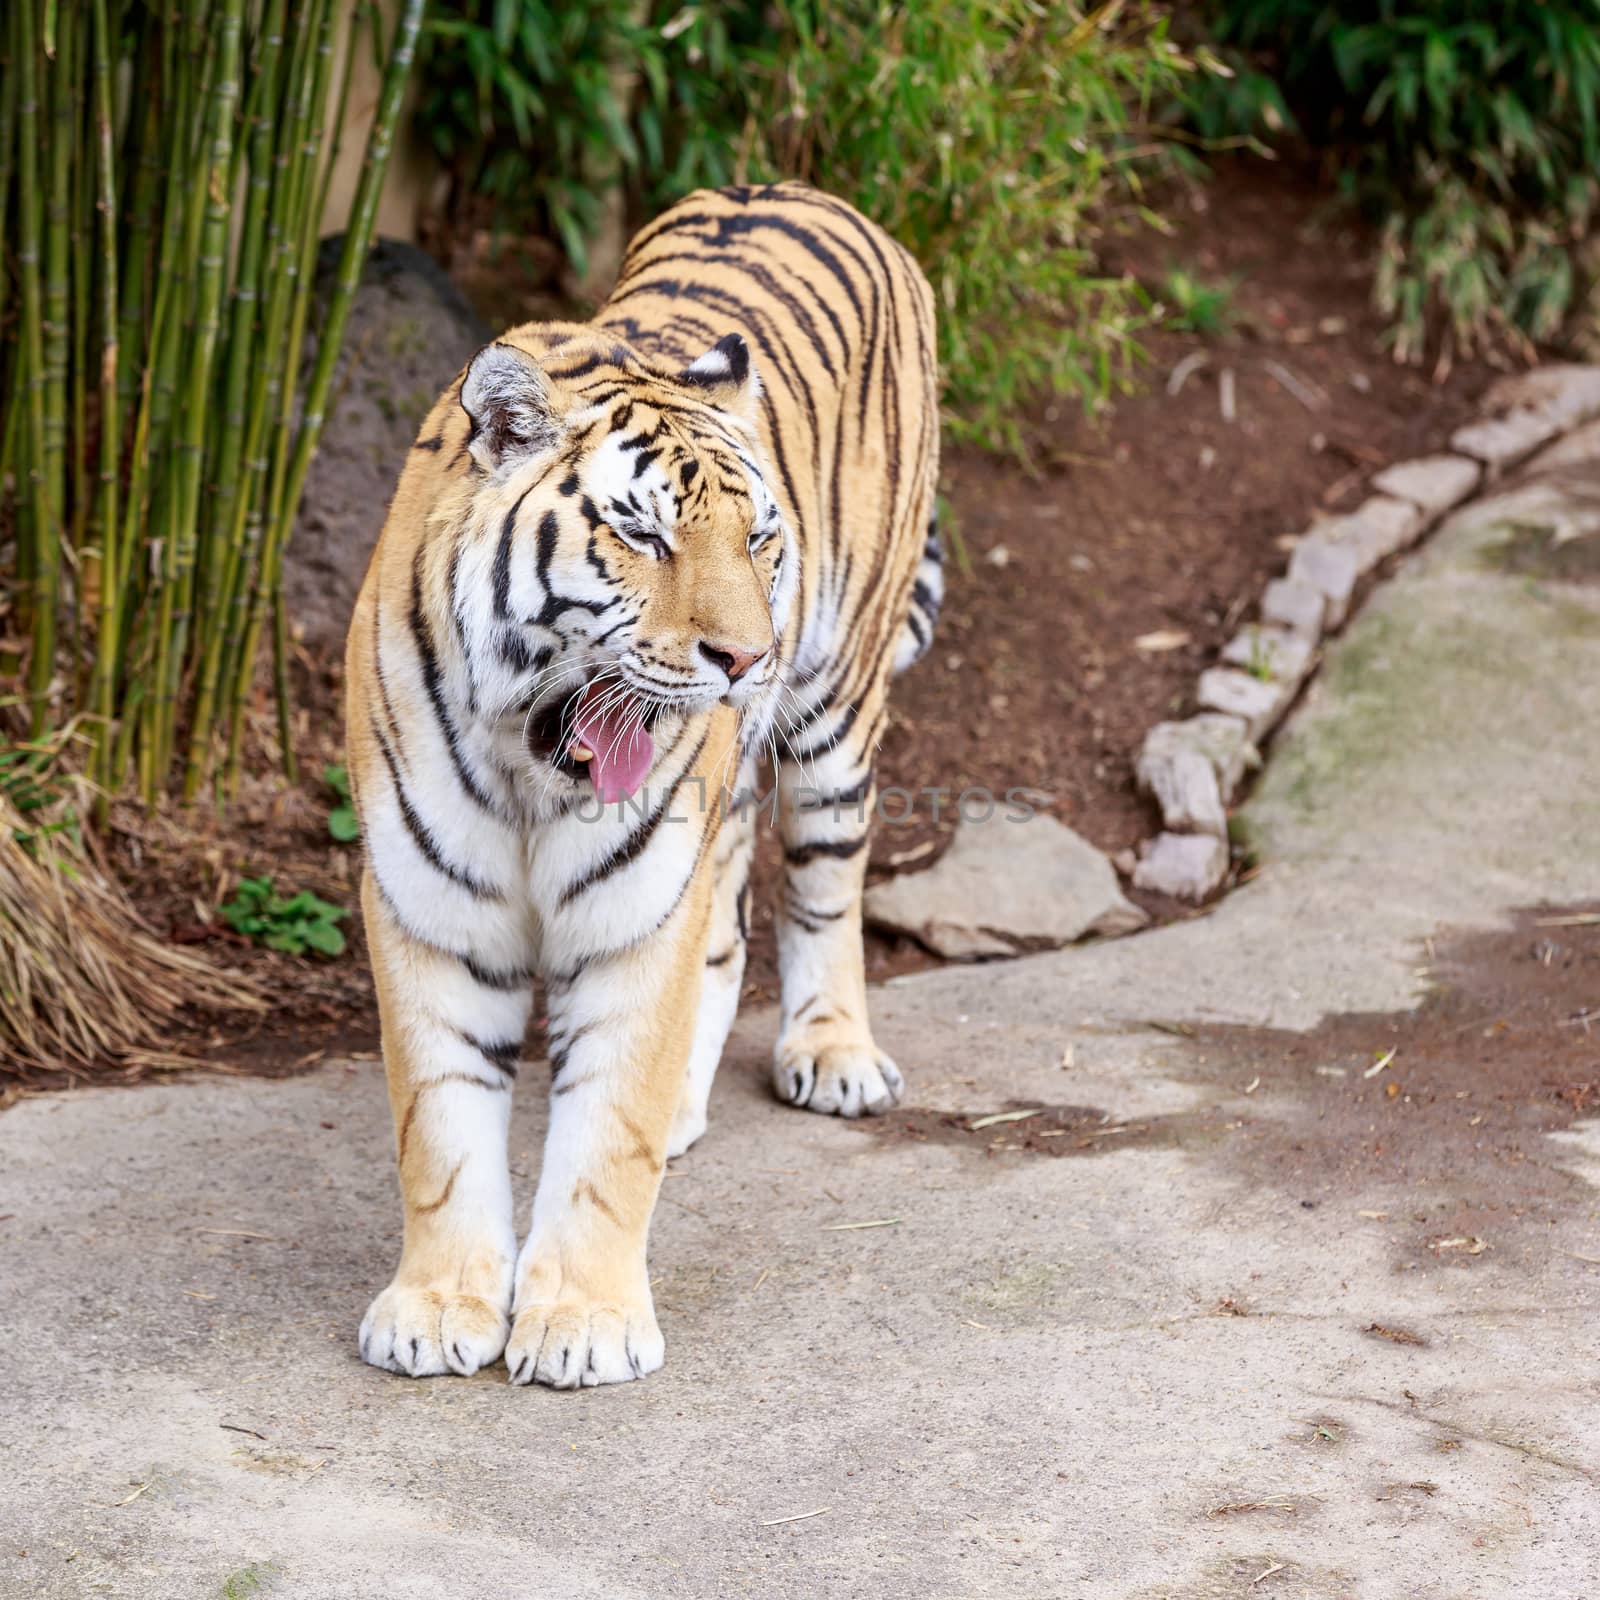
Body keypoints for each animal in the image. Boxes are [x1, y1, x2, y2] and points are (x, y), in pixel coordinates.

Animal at [337, 181, 934, 1388]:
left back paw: (835, 1052)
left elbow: (605, 1134)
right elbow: (439, 1127)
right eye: (645, 534)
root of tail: (805, 189)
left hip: (837, 714)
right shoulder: (428, 908)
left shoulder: (633, 908)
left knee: (822, 889)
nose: (745, 659)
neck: (527, 757)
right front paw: (437, 1306)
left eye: (759, 539)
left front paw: (582, 1324)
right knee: (729, 928)